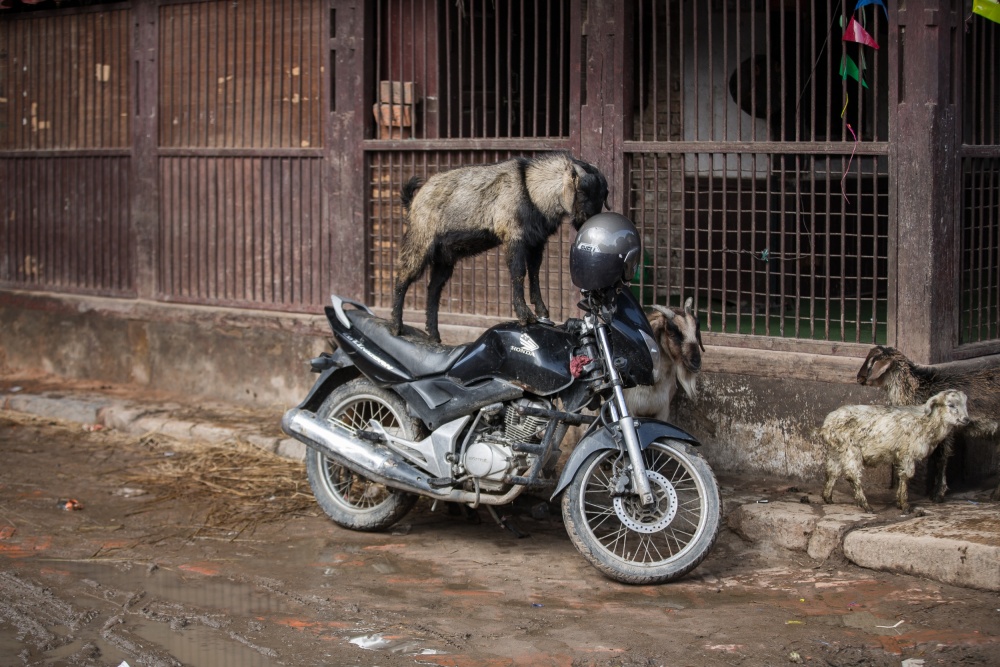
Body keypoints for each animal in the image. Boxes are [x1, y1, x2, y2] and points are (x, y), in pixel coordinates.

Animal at [390, 155, 608, 344]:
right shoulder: (513, 235)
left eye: (602, 194)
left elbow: (535, 273)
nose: (589, 224)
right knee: (402, 277)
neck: (532, 191)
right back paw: (396, 326)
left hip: (445, 258)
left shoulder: (536, 241)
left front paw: (542, 311)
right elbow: (519, 273)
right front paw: (525, 315)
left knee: (433, 289)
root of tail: (414, 201)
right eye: (583, 191)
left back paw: (434, 335)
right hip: (420, 241)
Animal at [820, 388, 968, 516]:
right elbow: (907, 476)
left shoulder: (900, 456)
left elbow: (900, 475)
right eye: (951, 405)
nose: (966, 419)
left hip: (836, 451)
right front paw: (905, 506)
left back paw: (828, 498)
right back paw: (866, 506)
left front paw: (899, 502)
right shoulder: (907, 453)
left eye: (965, 404)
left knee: (832, 472)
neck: (928, 422)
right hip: (850, 448)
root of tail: (827, 423)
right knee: (852, 475)